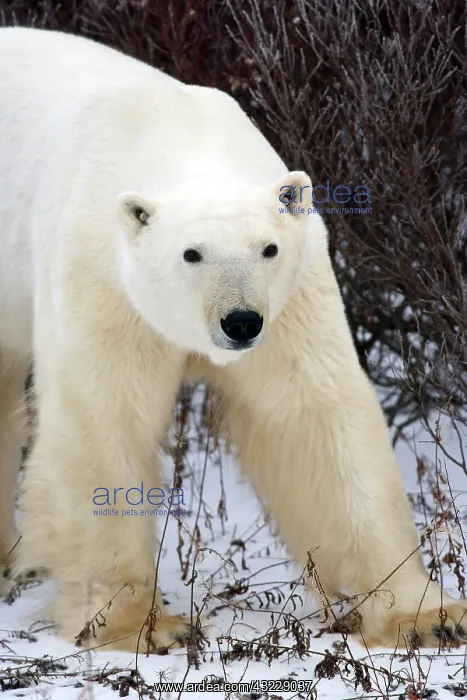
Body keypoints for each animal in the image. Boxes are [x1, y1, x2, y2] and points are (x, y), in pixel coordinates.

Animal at [0, 26, 465, 652]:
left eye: (268, 248)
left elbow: (313, 416)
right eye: (191, 253)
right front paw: (142, 628)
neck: (169, 131)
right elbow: (103, 425)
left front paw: (426, 616)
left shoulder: (292, 299)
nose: (241, 322)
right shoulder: (102, 283)